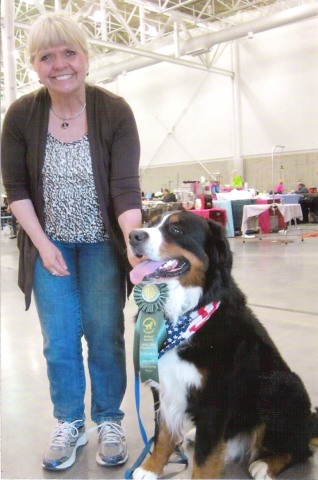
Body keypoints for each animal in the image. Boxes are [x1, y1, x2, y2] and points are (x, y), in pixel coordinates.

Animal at [128, 212, 316, 478]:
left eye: (175, 229)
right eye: (149, 223)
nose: (133, 236)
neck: (184, 314)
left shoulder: (216, 399)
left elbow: (205, 458)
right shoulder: (164, 384)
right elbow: (162, 433)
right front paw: (151, 468)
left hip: (281, 385)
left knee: (300, 448)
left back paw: (265, 465)